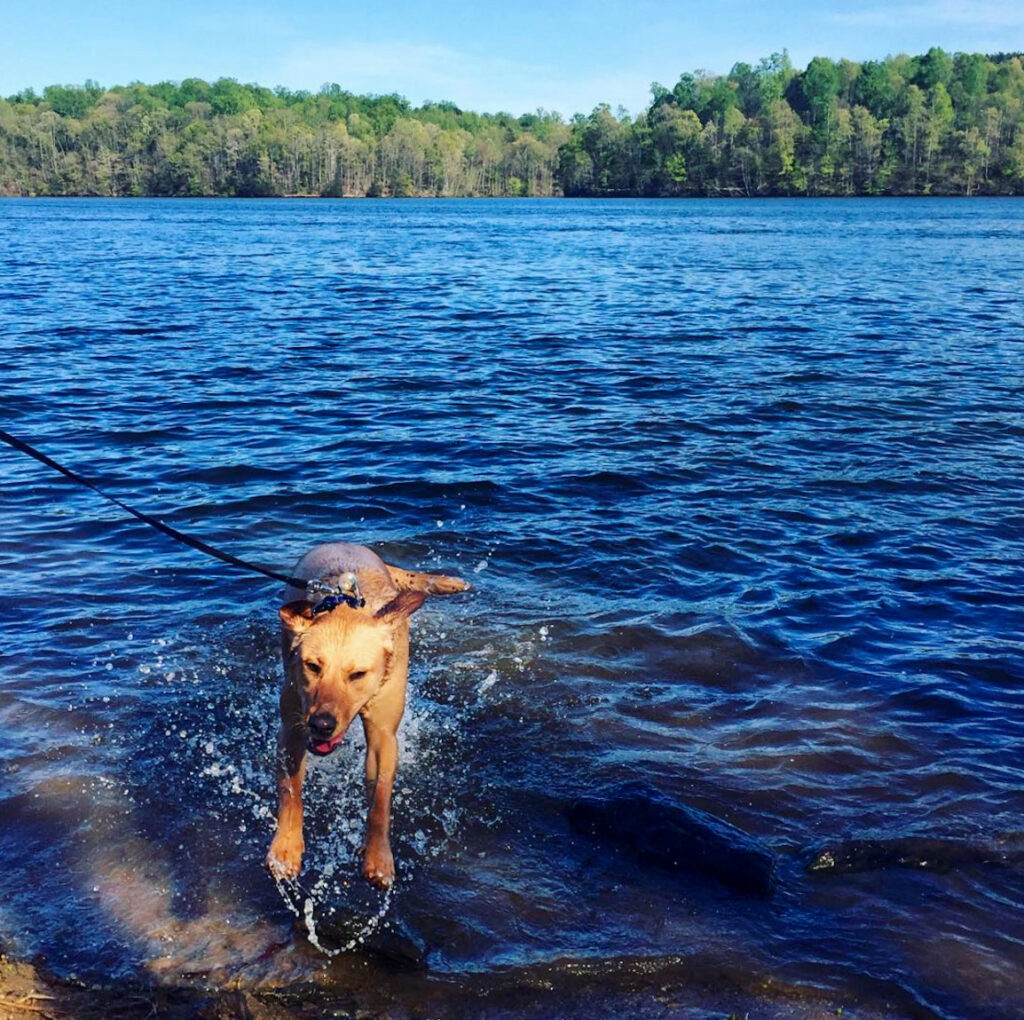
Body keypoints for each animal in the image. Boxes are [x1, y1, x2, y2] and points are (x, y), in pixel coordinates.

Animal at [266, 540, 468, 884]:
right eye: (313, 666)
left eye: (358, 674)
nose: (321, 724)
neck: (346, 608)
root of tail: (344, 542)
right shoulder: (292, 729)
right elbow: (290, 790)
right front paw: (286, 847)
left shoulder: (383, 735)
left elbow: (381, 799)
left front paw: (378, 855)